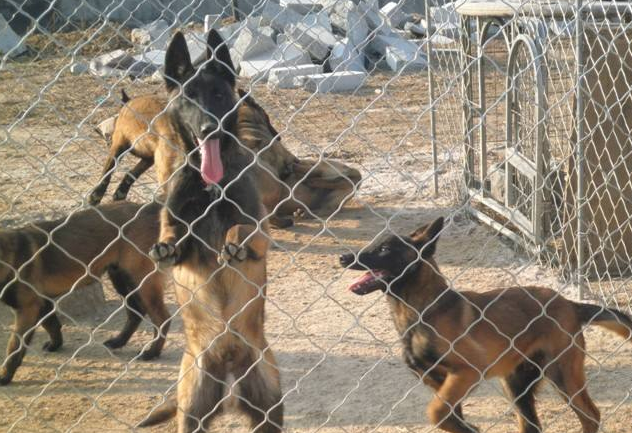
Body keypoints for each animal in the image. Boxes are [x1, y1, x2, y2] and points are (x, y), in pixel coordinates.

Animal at [0, 201, 170, 384]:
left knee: (162, 318)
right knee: (136, 312)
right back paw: (118, 342)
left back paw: (152, 352)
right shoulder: (42, 302)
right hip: (120, 276)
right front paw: (56, 345)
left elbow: (14, 347)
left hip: (141, 280)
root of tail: (147, 208)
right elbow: (52, 324)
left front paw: (5, 375)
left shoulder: (27, 308)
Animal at [141, 30, 284, 432]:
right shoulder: (178, 236)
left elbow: (242, 226)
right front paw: (164, 248)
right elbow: (172, 239)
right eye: (189, 97)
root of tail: (229, 368)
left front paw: (233, 243)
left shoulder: (260, 231)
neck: (209, 186)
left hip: (270, 407)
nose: (209, 129)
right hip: (191, 410)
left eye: (219, 95)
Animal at [340, 216, 632, 432]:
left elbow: (436, 412)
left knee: (590, 415)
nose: (343, 257)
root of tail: (569, 304)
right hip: (517, 384)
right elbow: (448, 416)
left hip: (562, 373)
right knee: (532, 425)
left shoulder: (466, 372)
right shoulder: (438, 381)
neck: (422, 312)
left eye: (384, 249)